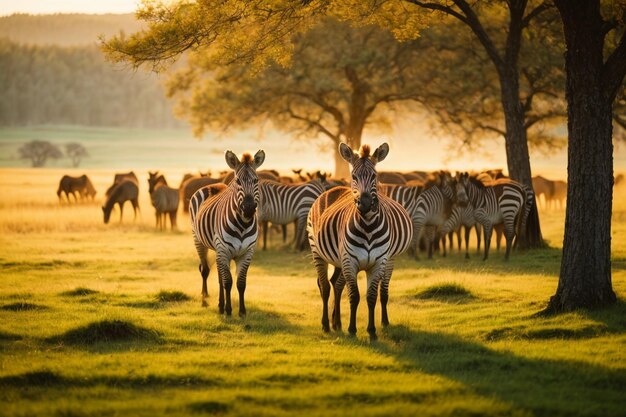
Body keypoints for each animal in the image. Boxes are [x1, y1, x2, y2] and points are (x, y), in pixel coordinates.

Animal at [186, 150, 262, 316]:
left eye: (256, 180)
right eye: (238, 181)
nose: (248, 208)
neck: (242, 225)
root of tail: (214, 184)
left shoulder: (247, 253)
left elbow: (240, 283)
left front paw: (242, 311)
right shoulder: (224, 250)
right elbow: (228, 282)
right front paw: (228, 310)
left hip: (217, 250)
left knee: (219, 276)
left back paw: (220, 304)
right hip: (199, 240)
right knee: (205, 270)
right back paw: (205, 297)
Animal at [306, 142, 412, 338]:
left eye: (374, 176)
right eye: (354, 176)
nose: (365, 204)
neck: (368, 226)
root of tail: (334, 189)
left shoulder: (378, 262)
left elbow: (371, 296)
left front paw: (372, 331)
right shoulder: (350, 261)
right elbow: (354, 296)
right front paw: (352, 330)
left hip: (340, 259)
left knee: (336, 284)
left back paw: (336, 323)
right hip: (317, 251)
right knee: (325, 287)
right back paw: (326, 324)